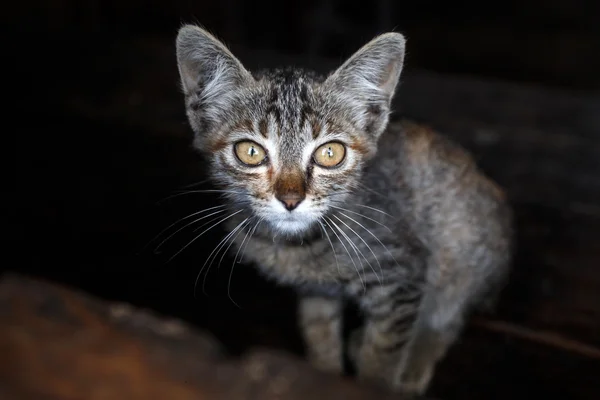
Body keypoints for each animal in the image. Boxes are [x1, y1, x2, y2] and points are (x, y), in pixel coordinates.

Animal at [172, 25, 510, 396]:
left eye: (330, 153)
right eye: (250, 151)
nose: (291, 199)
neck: (296, 245)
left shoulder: (401, 275)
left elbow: (383, 355)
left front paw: (376, 382)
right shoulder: (315, 292)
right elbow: (319, 335)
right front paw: (324, 377)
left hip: (466, 244)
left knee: (445, 313)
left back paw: (415, 362)